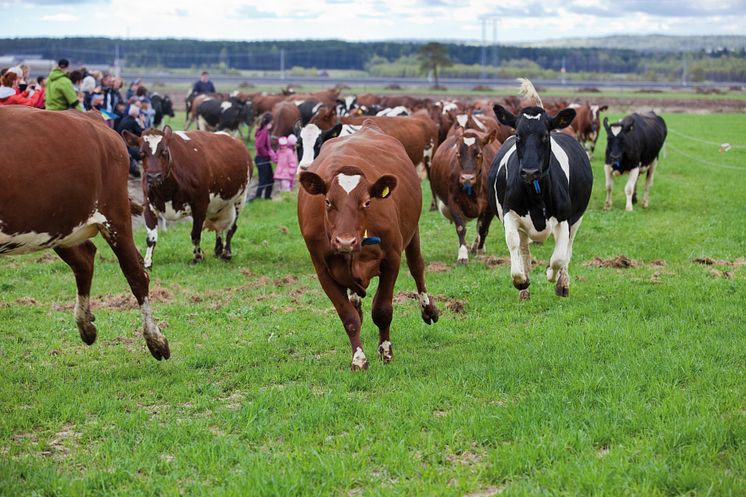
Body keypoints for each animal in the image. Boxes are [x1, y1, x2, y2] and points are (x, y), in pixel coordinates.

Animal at [0, 106, 170, 358]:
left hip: (114, 214)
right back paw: (86, 325)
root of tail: (90, 115)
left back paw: (155, 340)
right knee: (85, 259)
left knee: (136, 272)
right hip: (59, 224)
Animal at [120, 126, 251, 270]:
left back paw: (226, 253)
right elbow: (151, 238)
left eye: (164, 151)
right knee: (220, 227)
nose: (154, 177)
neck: (167, 192)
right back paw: (218, 251)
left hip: (240, 198)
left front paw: (198, 257)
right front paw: (147, 262)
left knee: (232, 228)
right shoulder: (148, 205)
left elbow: (195, 234)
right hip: (219, 207)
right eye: (142, 153)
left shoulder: (200, 204)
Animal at [294, 122, 436, 370]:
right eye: (327, 201)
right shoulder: (323, 272)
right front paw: (359, 358)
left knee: (417, 267)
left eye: (367, 202)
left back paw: (427, 309)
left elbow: (382, 310)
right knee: (355, 303)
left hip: (413, 232)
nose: (345, 241)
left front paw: (385, 351)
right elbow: (349, 317)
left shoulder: (391, 259)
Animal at [486, 79, 588, 300]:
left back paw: (562, 284)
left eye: (545, 136)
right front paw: (521, 280)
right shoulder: (509, 213)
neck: (536, 192)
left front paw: (551, 273)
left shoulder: (565, 218)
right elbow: (513, 243)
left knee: (568, 249)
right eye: (518, 135)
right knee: (524, 249)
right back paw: (525, 291)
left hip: (577, 219)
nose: (530, 171)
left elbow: (559, 257)